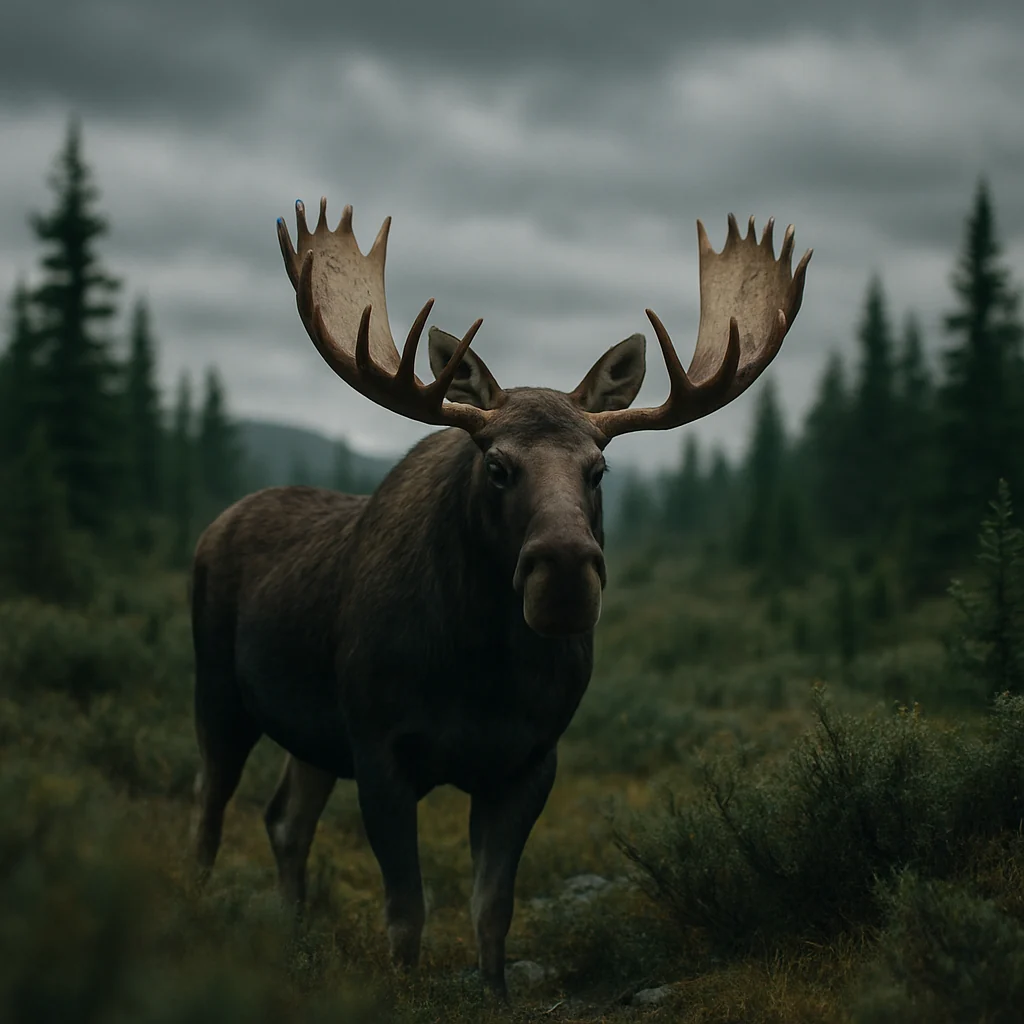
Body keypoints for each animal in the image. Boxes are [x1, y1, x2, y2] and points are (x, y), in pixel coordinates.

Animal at [189, 196, 811, 999]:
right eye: (497, 465)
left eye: (599, 469)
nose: (566, 573)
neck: (479, 668)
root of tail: (215, 524)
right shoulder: (379, 747)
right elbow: (407, 911)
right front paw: (403, 992)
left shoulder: (529, 760)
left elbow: (493, 908)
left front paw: (495, 991)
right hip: (220, 694)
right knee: (209, 809)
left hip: (313, 737)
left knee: (284, 823)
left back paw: (292, 942)